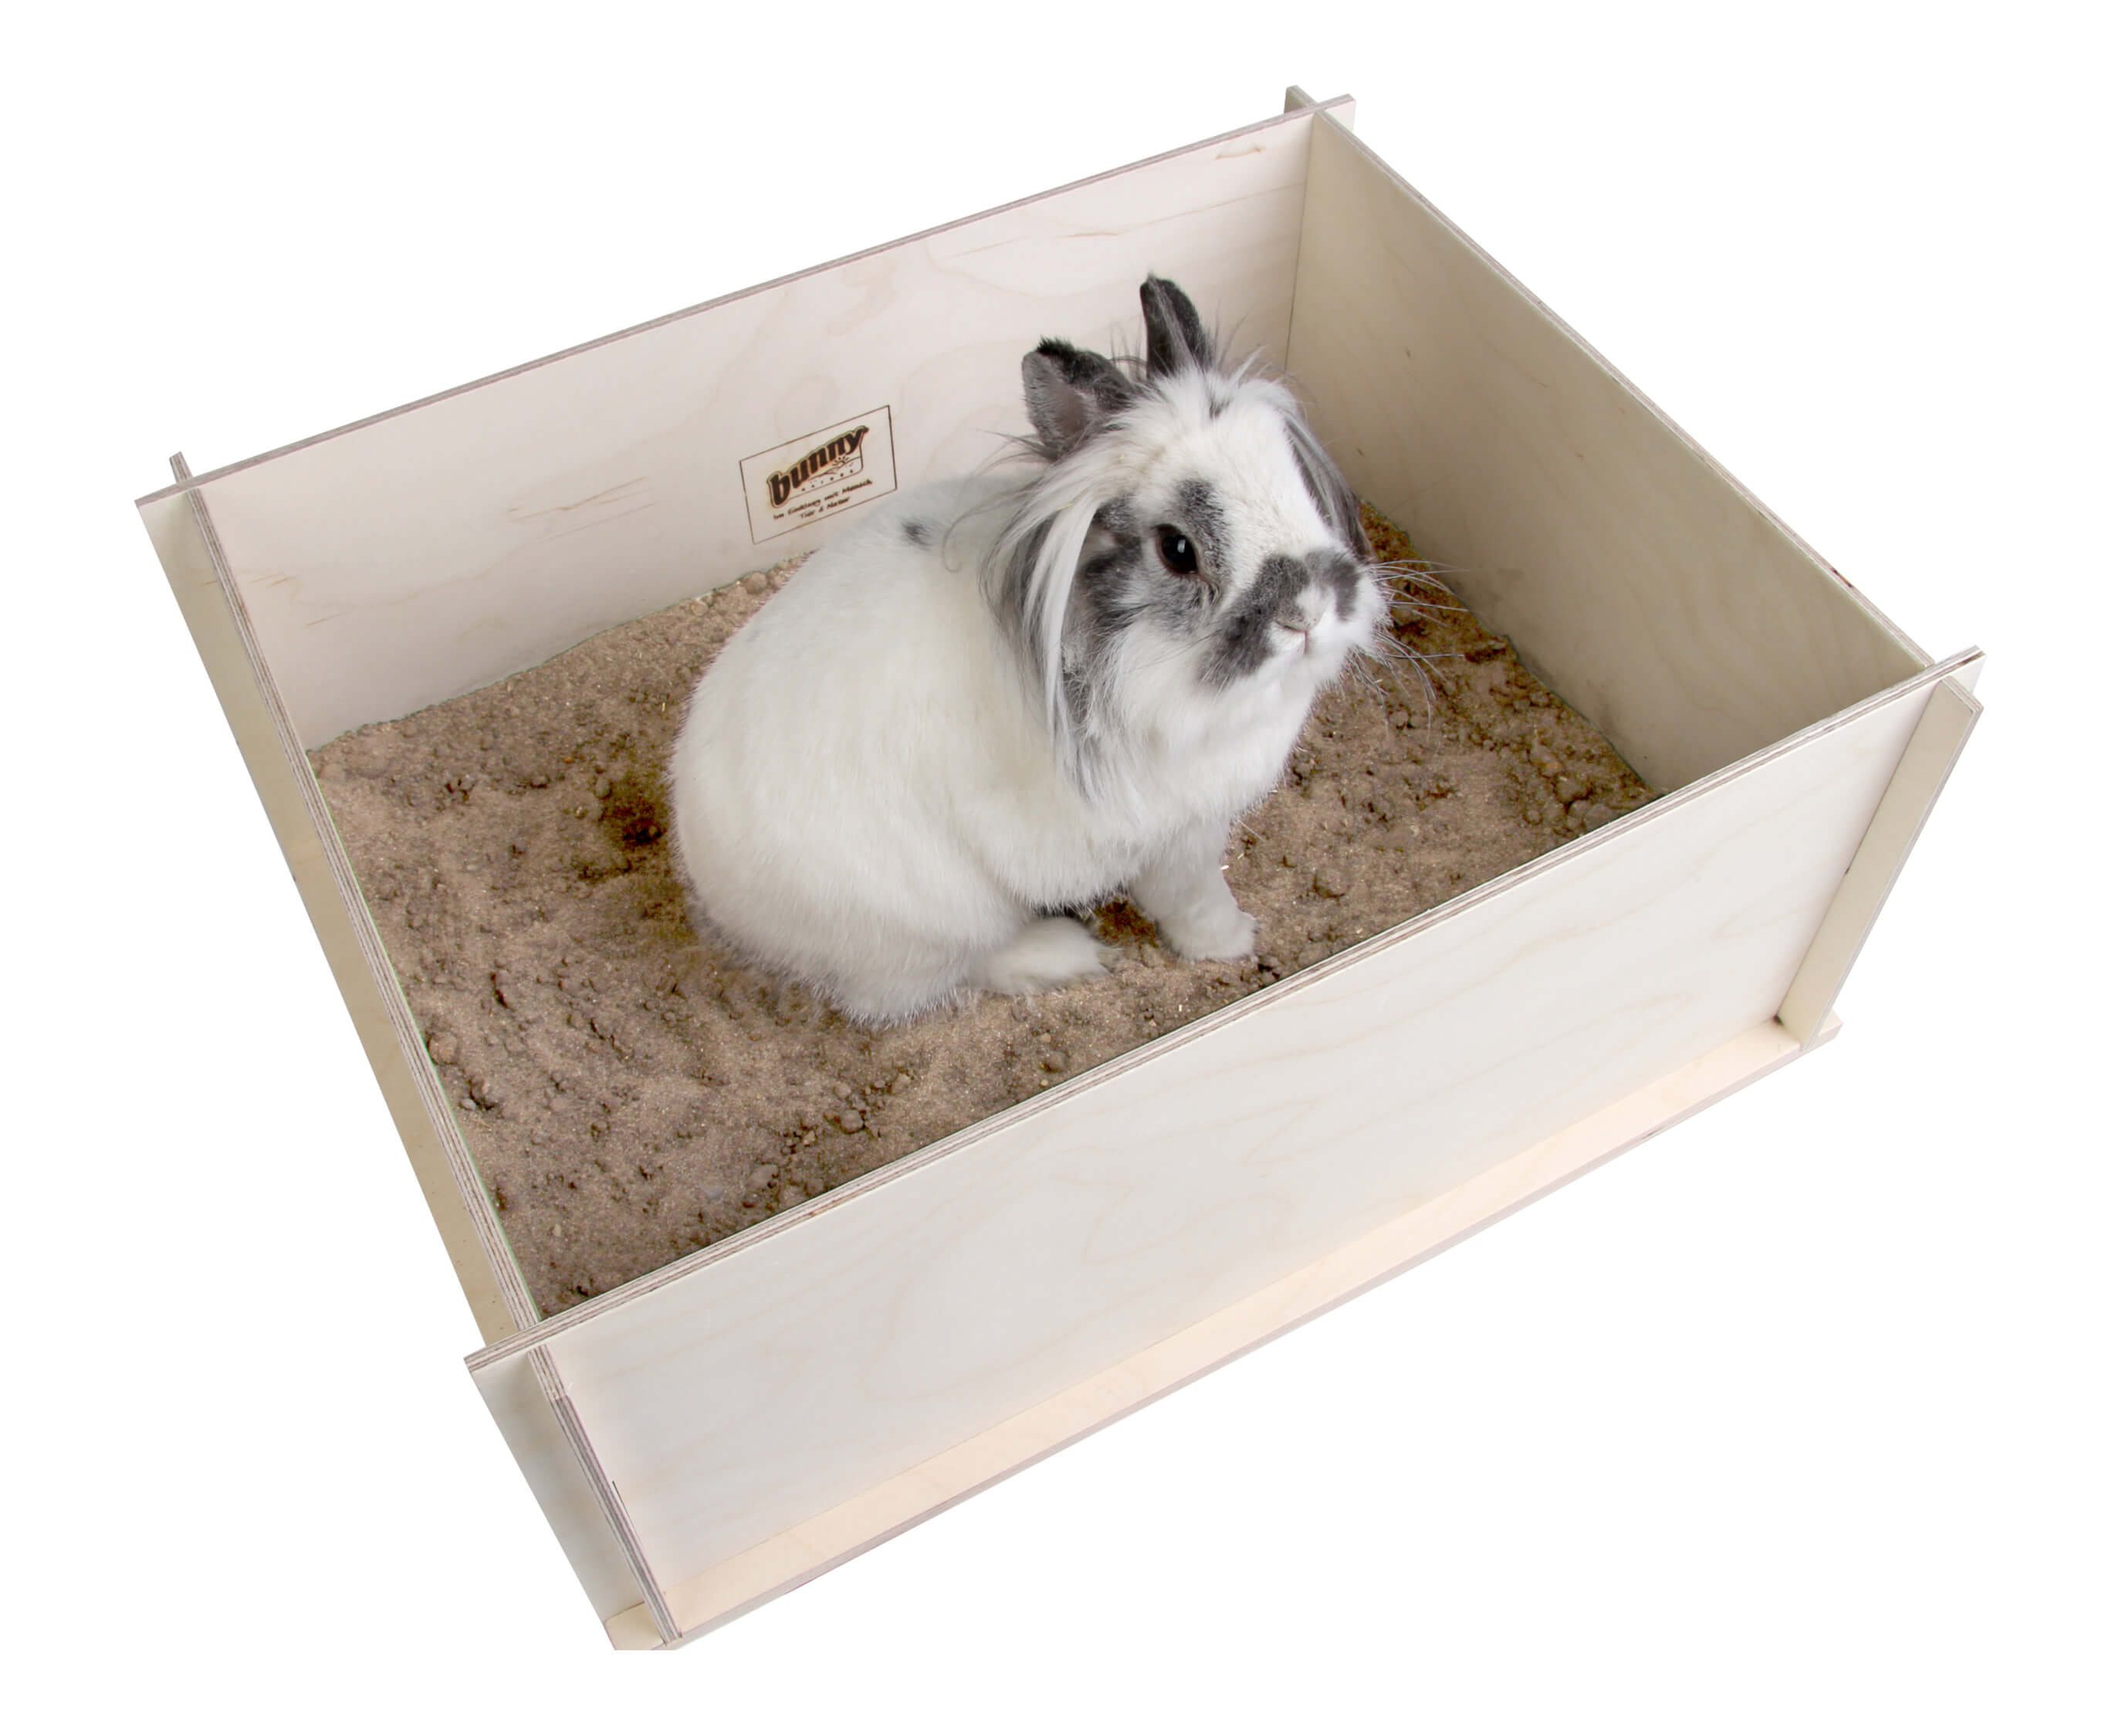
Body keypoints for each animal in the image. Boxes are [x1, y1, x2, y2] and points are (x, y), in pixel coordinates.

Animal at [668, 275, 1384, 1024]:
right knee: (943, 974)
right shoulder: (1173, 841)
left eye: (1294, 480)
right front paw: (1234, 940)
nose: (1309, 611)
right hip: (938, 923)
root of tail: (715, 885)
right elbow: (1193, 900)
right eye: (1177, 549)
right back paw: (1066, 953)